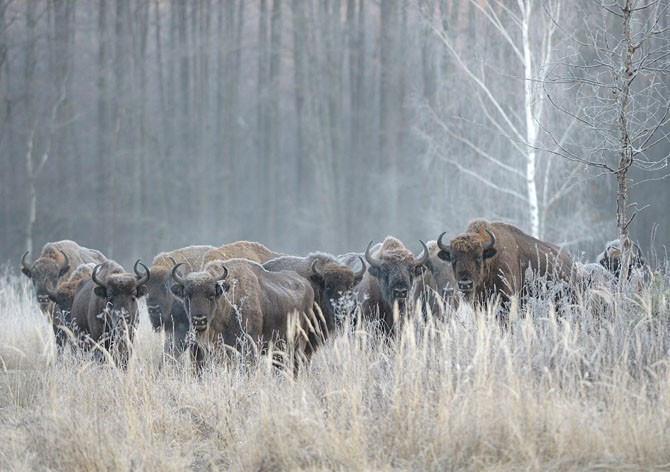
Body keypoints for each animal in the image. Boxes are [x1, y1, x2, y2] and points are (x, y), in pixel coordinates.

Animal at [173, 256, 320, 374]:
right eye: (187, 296)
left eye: (212, 295)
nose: (199, 320)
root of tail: (307, 285)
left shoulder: (248, 346)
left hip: (298, 342)